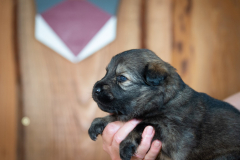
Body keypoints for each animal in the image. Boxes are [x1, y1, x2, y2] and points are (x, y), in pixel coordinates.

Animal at [88, 49, 240, 160]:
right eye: (107, 72)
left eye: (121, 78)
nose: (94, 89)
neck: (164, 101)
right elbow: (118, 117)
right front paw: (99, 122)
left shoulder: (171, 131)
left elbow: (141, 125)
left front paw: (126, 142)